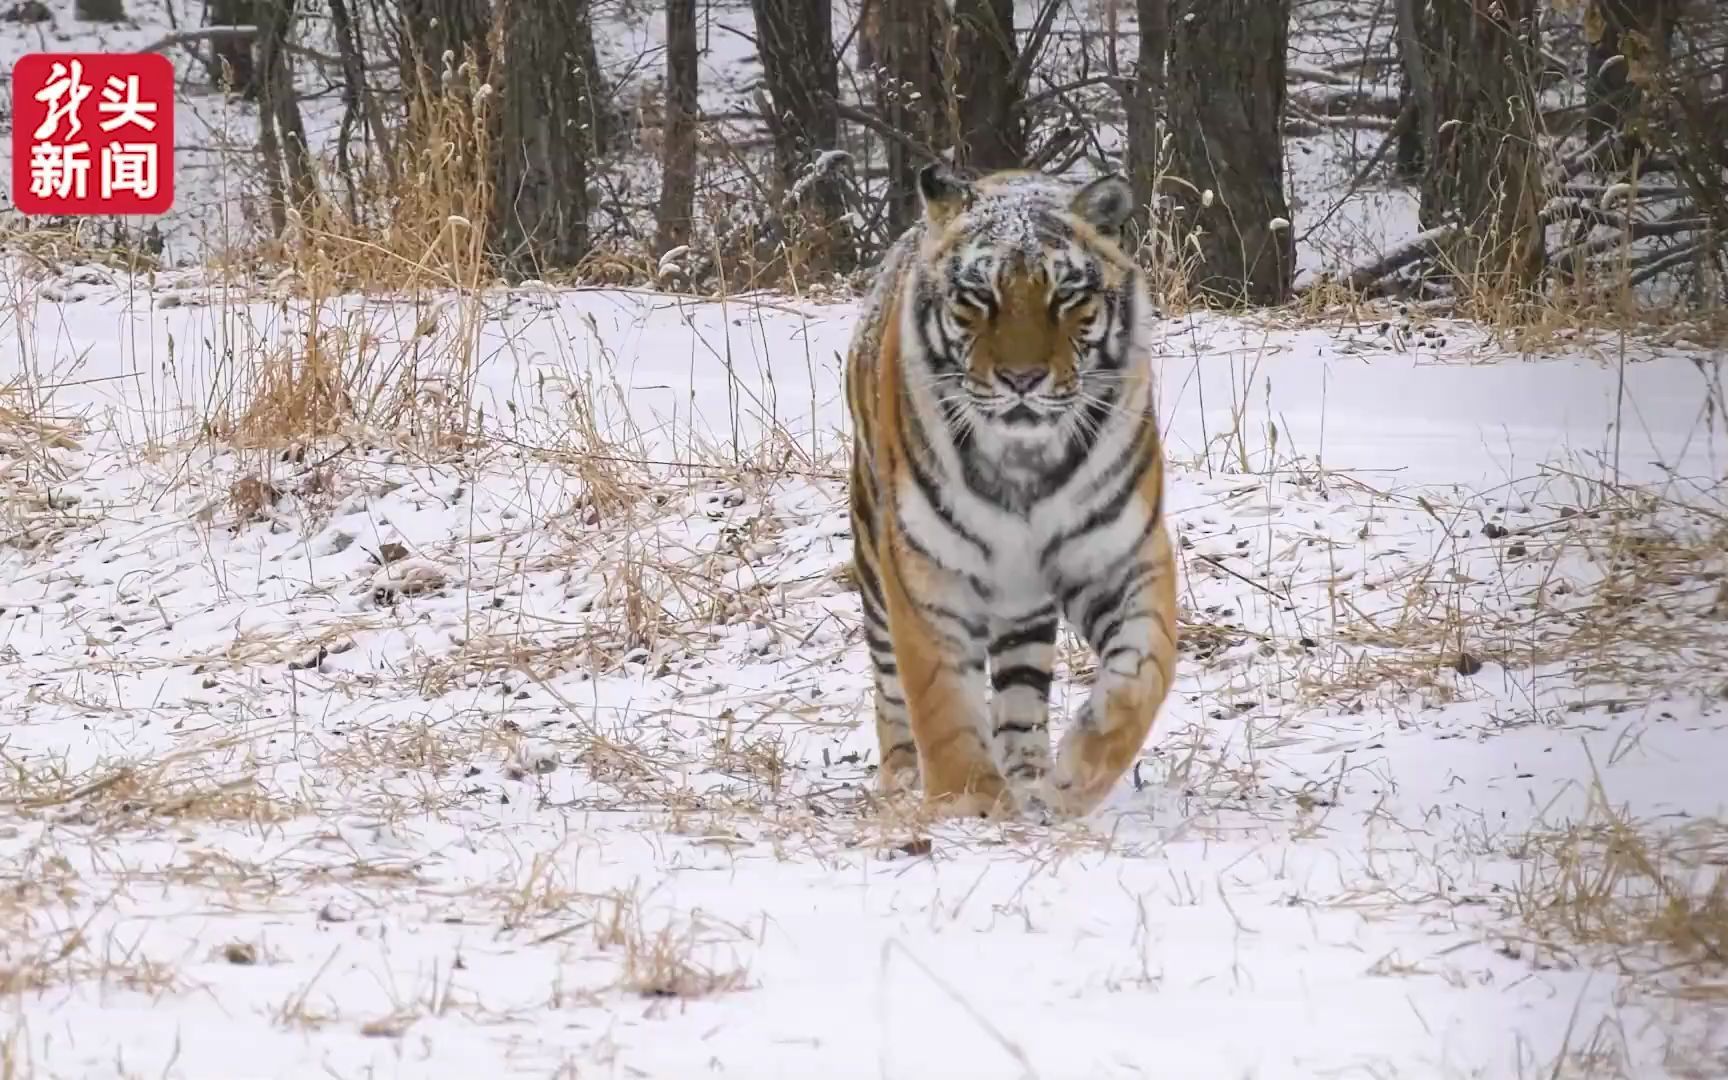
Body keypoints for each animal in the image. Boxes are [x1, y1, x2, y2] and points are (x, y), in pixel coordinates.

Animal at [843, 162, 1181, 815]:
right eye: (979, 296)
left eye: (1066, 296)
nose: (1022, 379)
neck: (1024, 463)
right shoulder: (927, 573)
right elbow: (941, 700)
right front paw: (968, 802)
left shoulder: (1121, 558)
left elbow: (1143, 674)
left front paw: (1074, 780)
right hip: (873, 558)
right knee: (891, 690)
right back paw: (902, 783)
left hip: (1023, 602)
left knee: (1021, 694)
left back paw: (1028, 777)